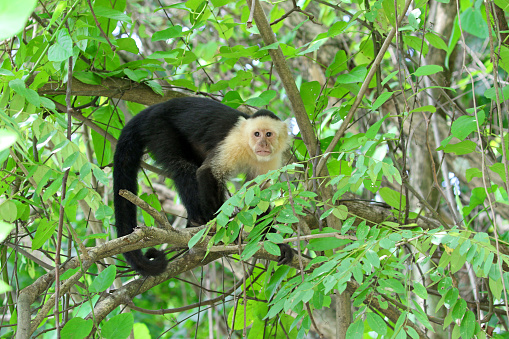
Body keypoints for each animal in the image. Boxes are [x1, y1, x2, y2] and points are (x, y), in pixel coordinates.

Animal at [112, 96, 292, 276]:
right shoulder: (233, 143)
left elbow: (257, 196)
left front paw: (275, 242)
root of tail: (155, 108)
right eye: (256, 134)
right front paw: (220, 227)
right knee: (186, 169)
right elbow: (207, 172)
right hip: (159, 128)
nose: (262, 144)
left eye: (268, 134)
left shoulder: (270, 161)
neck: (249, 150)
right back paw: (197, 221)